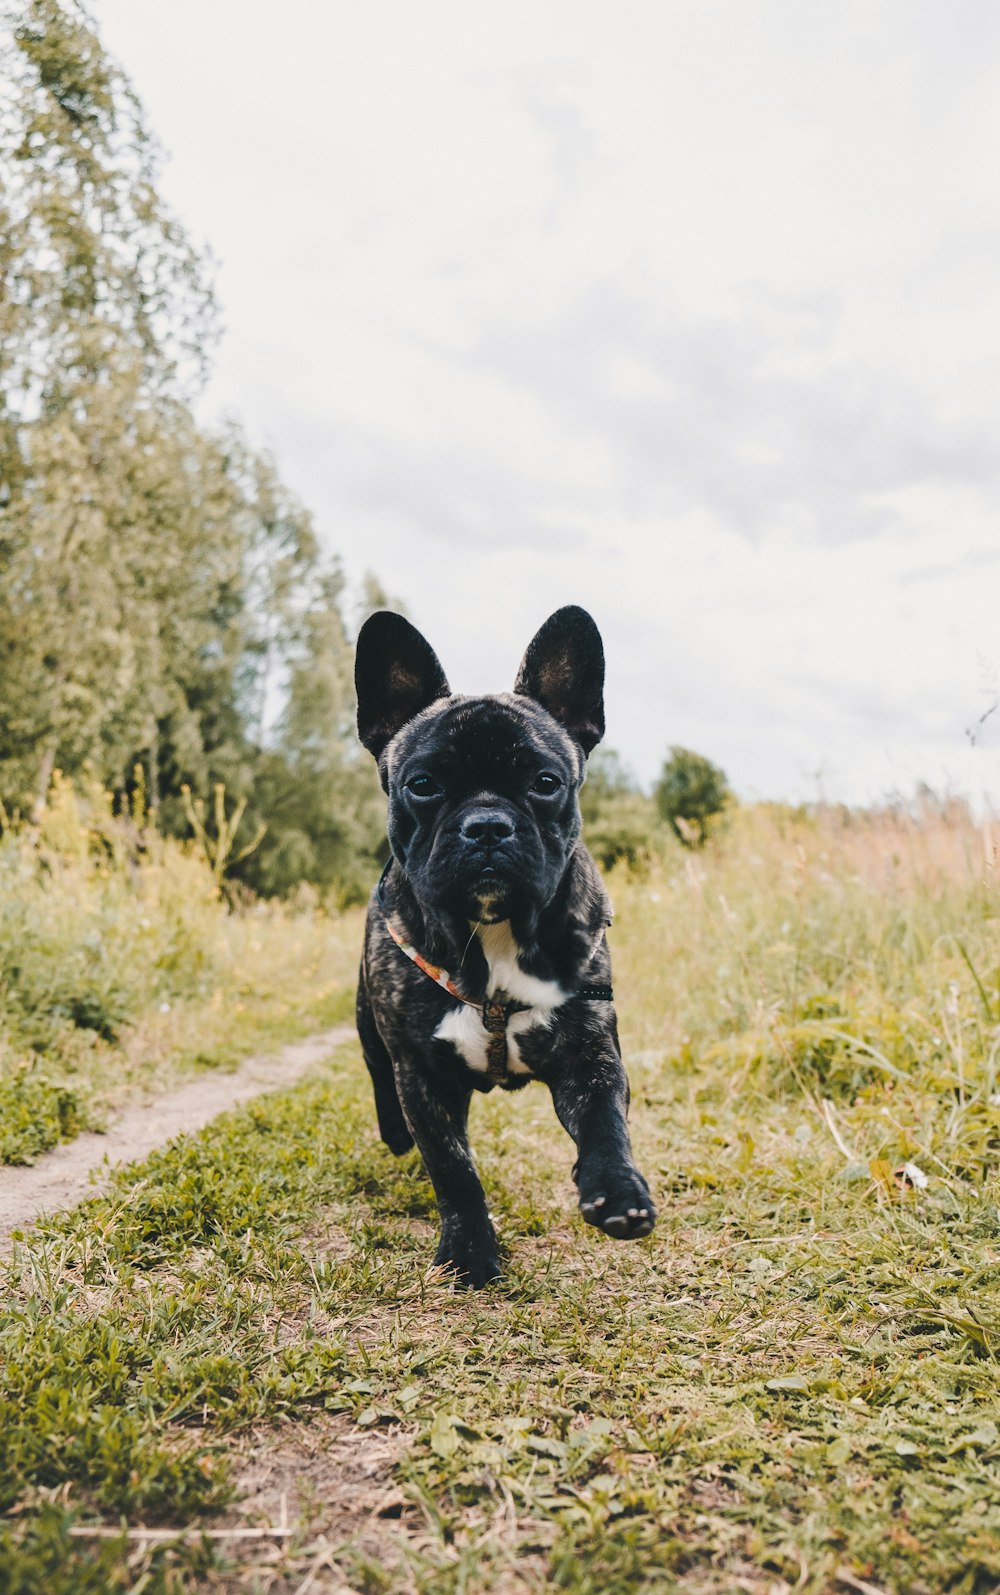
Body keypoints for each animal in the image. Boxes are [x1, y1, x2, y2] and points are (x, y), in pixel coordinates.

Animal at [354, 602, 657, 1288]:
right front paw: (469, 1250)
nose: (487, 824)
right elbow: (453, 1170)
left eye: (546, 782)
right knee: (381, 1079)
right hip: (368, 1024)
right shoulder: (422, 1075)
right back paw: (394, 1134)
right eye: (422, 784)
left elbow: (605, 1123)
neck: (493, 933)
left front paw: (618, 1193)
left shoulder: (589, 1053)